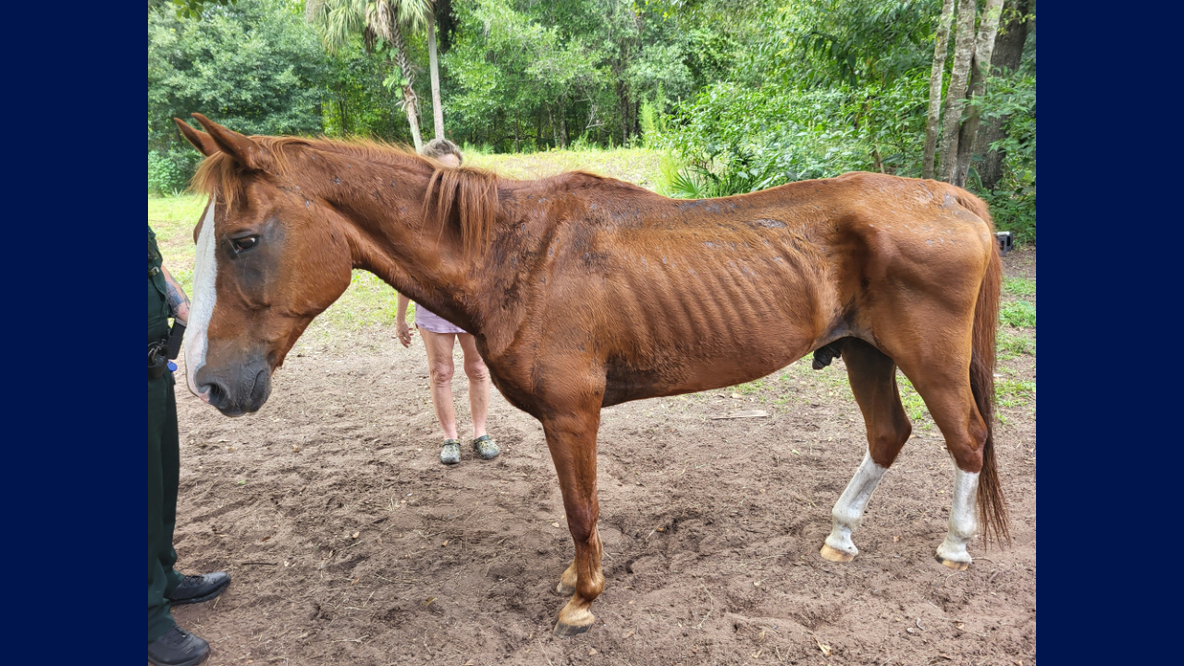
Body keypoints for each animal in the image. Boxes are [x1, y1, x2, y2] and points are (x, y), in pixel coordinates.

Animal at [173, 113, 1008, 637]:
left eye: (243, 240)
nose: (207, 383)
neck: (516, 253)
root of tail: (955, 200)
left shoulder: (573, 412)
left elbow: (581, 510)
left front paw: (581, 597)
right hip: (866, 351)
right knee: (890, 434)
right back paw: (839, 534)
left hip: (926, 358)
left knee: (966, 438)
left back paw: (955, 545)